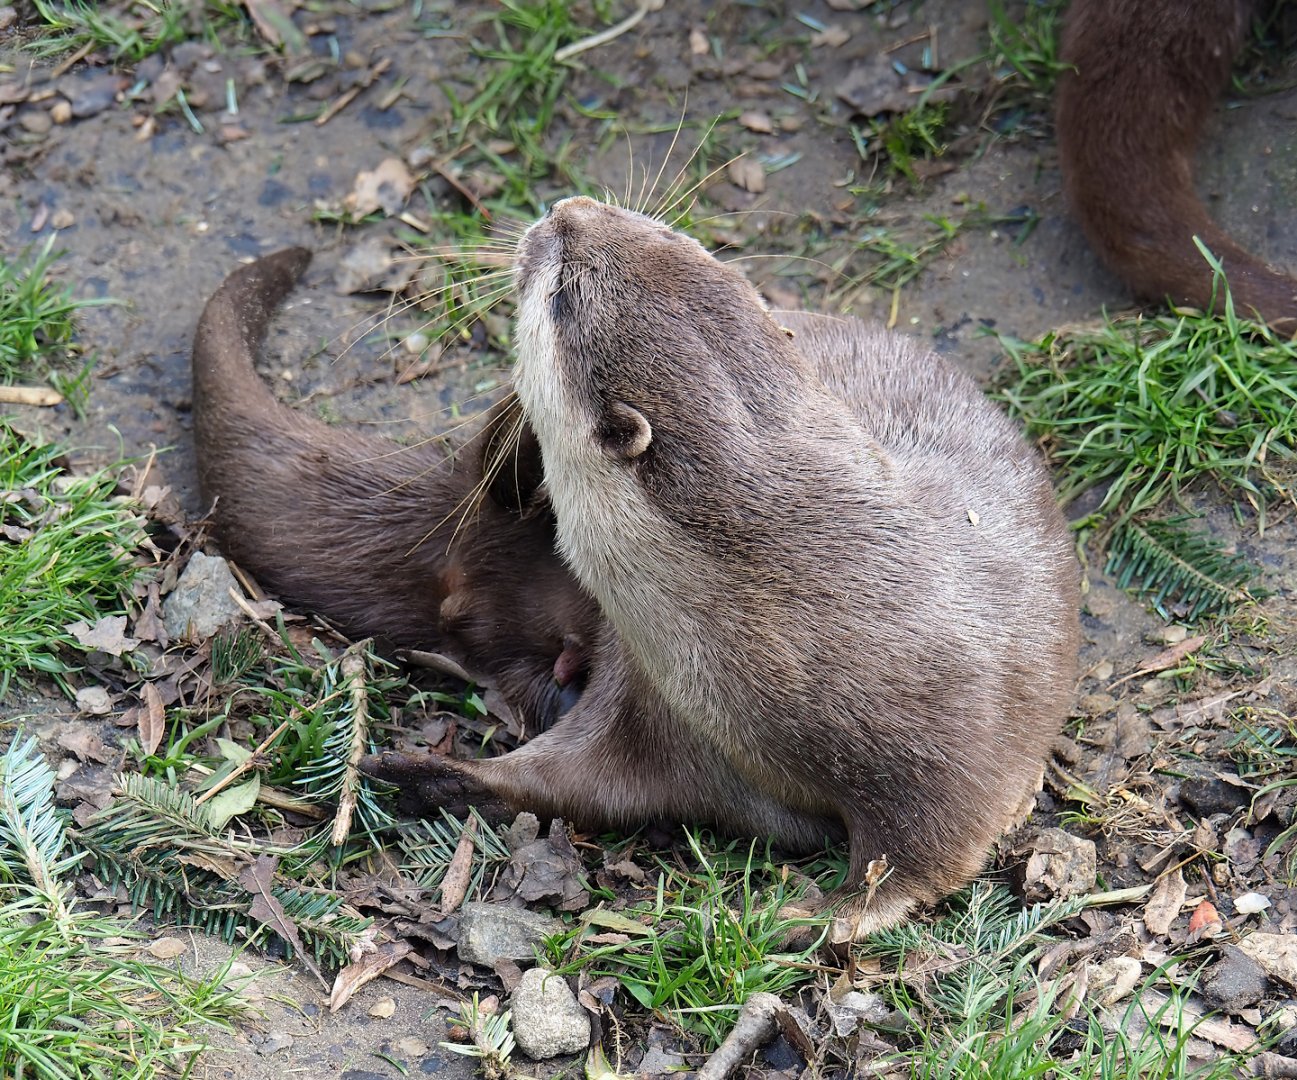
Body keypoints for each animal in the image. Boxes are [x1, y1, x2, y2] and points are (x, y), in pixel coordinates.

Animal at [364, 198, 1080, 934]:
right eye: (670, 233)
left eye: (562, 294)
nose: (569, 208)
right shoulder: (648, 693)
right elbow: (571, 777)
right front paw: (430, 776)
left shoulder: (956, 743)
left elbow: (929, 852)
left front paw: (809, 917)